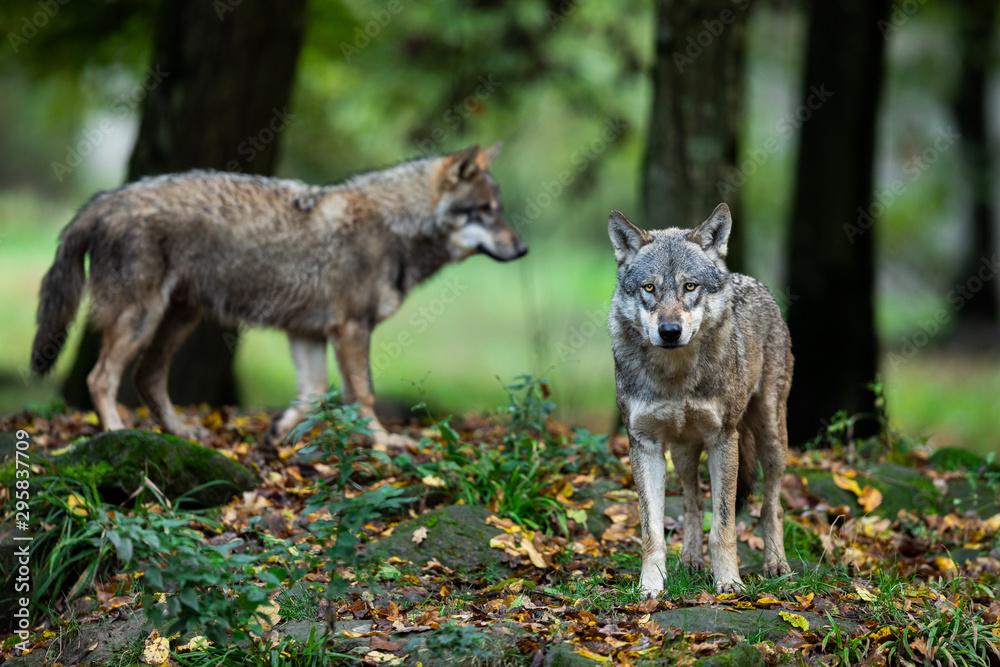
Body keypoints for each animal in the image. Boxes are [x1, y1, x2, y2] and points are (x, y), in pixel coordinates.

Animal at [30, 144, 524, 446]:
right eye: (485, 211)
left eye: (500, 211)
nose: (522, 249)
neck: (397, 227)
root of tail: (105, 198)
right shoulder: (350, 328)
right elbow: (361, 393)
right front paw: (383, 442)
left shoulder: (308, 333)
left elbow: (313, 393)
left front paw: (281, 433)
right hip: (142, 318)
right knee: (100, 379)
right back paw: (117, 434)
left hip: (180, 319)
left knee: (146, 378)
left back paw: (182, 434)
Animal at [604, 204, 792, 596]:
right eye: (650, 288)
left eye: (689, 286)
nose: (669, 331)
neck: (676, 376)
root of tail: (748, 279)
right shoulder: (644, 443)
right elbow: (652, 529)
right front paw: (650, 587)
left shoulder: (723, 439)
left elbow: (723, 526)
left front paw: (729, 581)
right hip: (683, 452)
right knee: (692, 502)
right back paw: (690, 560)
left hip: (770, 437)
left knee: (772, 505)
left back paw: (776, 564)